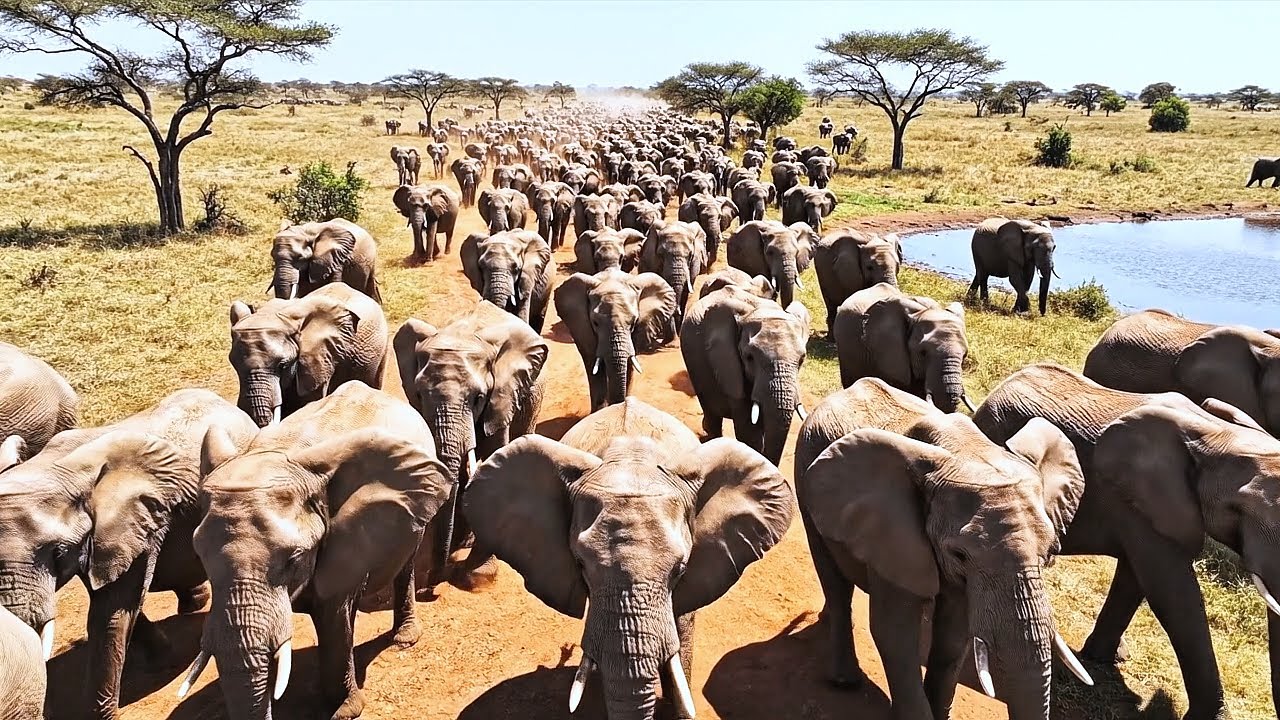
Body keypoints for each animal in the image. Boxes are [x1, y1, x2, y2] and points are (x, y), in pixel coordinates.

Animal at [187, 381, 451, 720]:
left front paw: (343, 710)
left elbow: (334, 616)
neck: (277, 456)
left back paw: (403, 640)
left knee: (404, 565)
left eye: (294, 559)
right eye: (201, 557)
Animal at [554, 270, 678, 412]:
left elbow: (629, 364)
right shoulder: (582, 327)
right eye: (595, 323)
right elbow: (593, 364)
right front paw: (598, 412)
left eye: (634, 322)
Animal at [794, 377, 1092, 720]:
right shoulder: (894, 535)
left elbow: (954, 639)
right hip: (804, 476)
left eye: (1051, 554)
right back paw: (844, 680)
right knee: (832, 576)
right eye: (960, 555)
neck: (967, 451)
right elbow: (895, 635)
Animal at [972, 362, 1280, 720]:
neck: (1219, 435)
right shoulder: (1137, 497)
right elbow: (1172, 592)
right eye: (1238, 509)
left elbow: (1138, 578)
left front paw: (1104, 658)